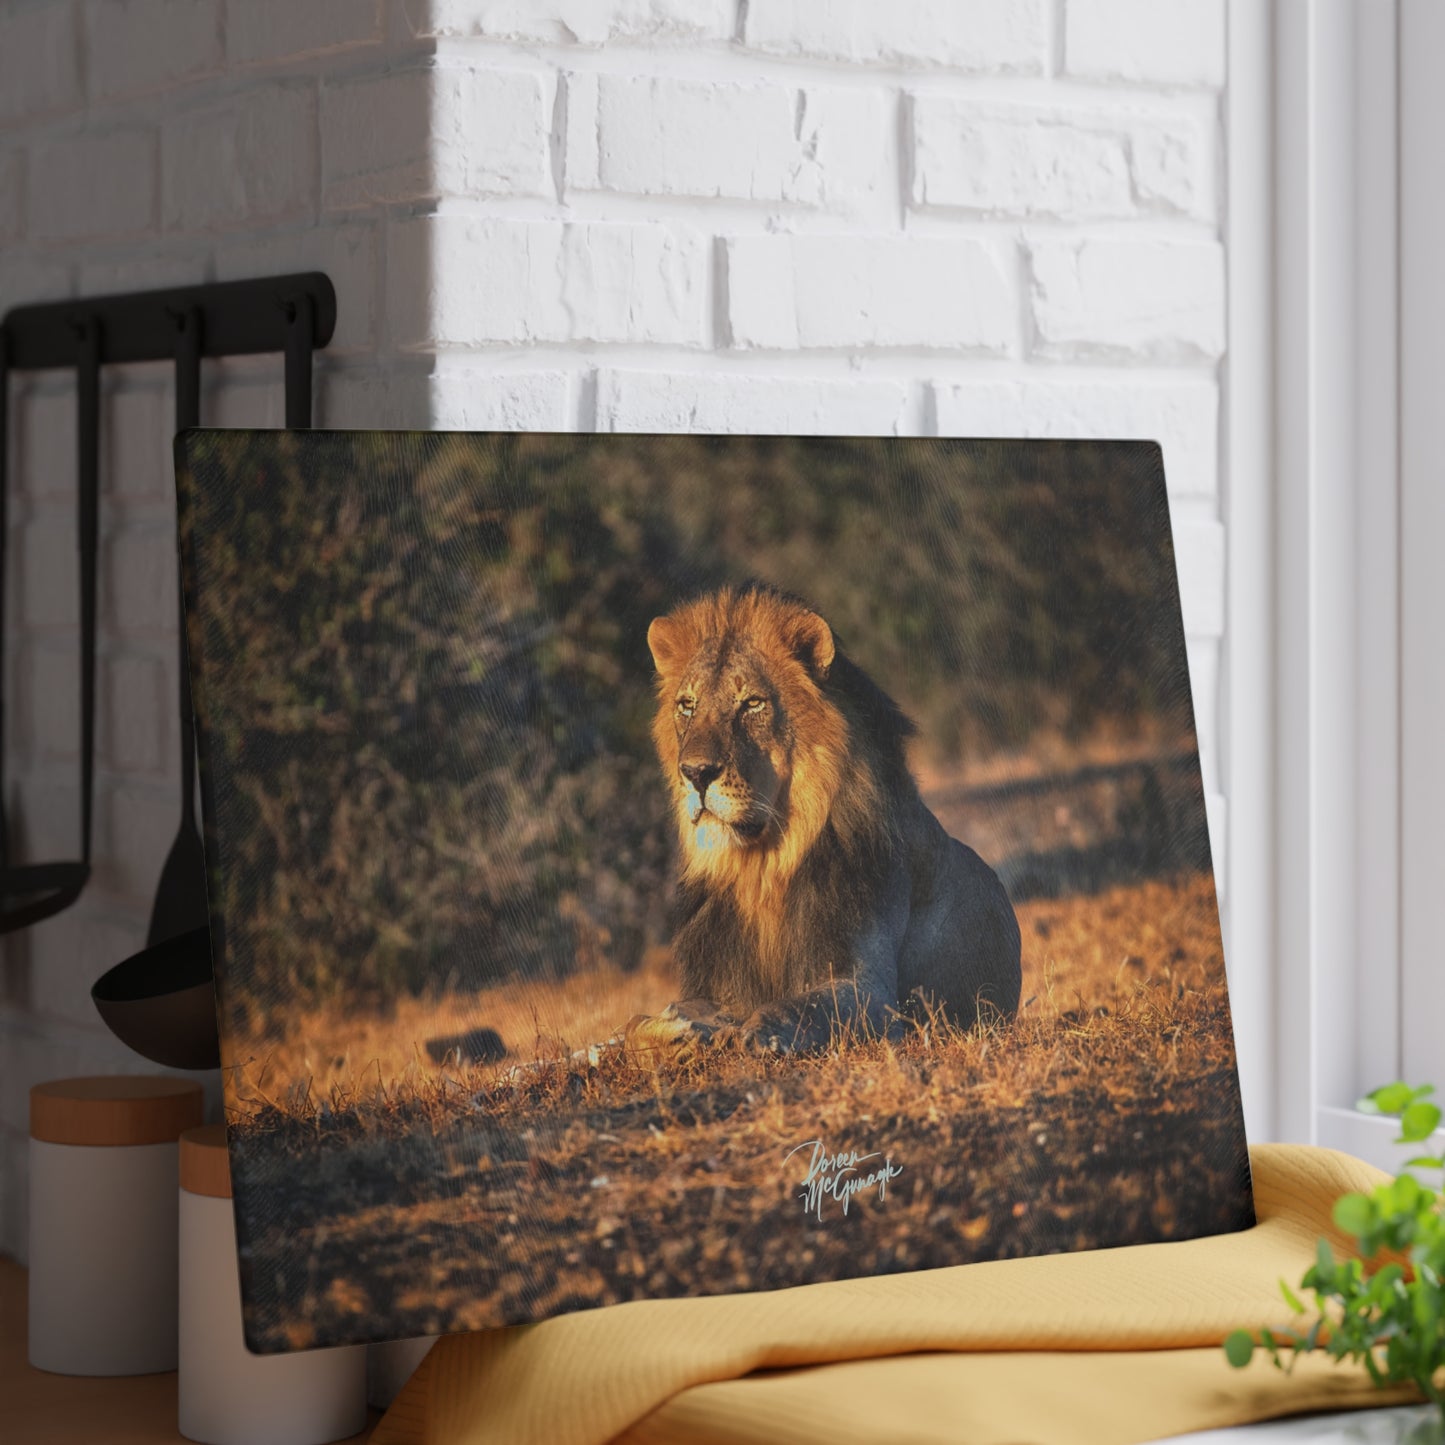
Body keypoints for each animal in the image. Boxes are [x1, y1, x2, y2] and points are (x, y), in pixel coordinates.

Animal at [641, 582, 1021, 1055]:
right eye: (687, 706)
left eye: (752, 704)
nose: (694, 773)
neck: (761, 867)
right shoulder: (718, 985)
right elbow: (656, 1017)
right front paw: (665, 1026)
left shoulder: (871, 990)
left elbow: (799, 1005)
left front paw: (759, 1032)